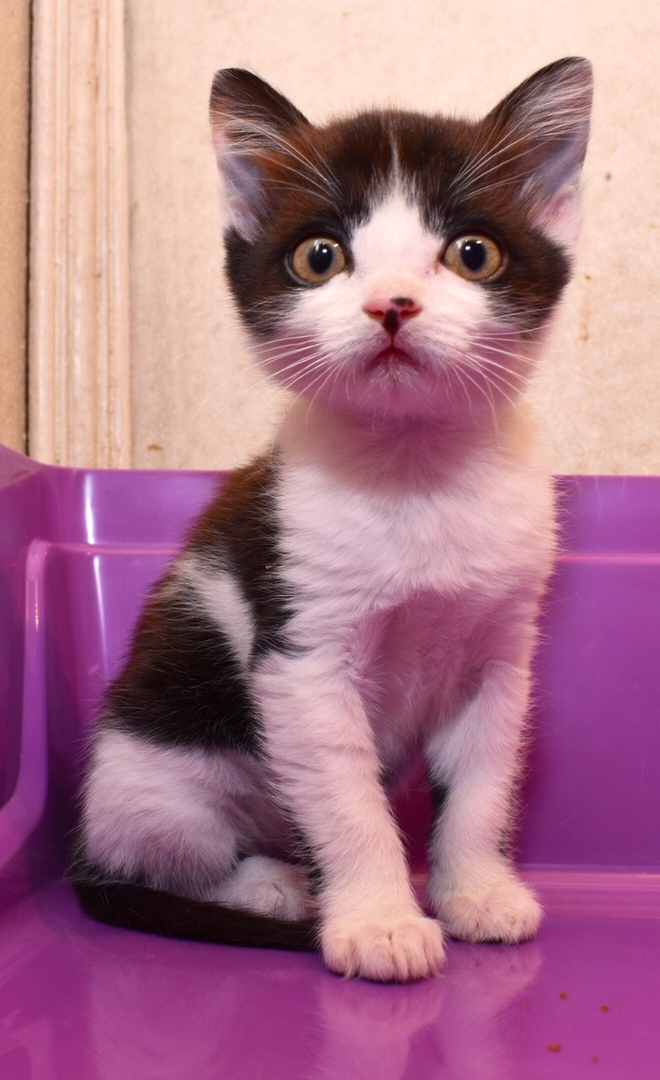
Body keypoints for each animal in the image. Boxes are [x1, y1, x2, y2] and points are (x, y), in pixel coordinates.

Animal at [70, 57, 592, 982]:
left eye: (473, 252)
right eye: (322, 256)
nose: (393, 304)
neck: (416, 477)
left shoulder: (502, 655)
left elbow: (482, 778)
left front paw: (475, 891)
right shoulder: (300, 650)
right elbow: (346, 791)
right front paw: (380, 921)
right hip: (156, 765)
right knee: (164, 854)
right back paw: (270, 885)